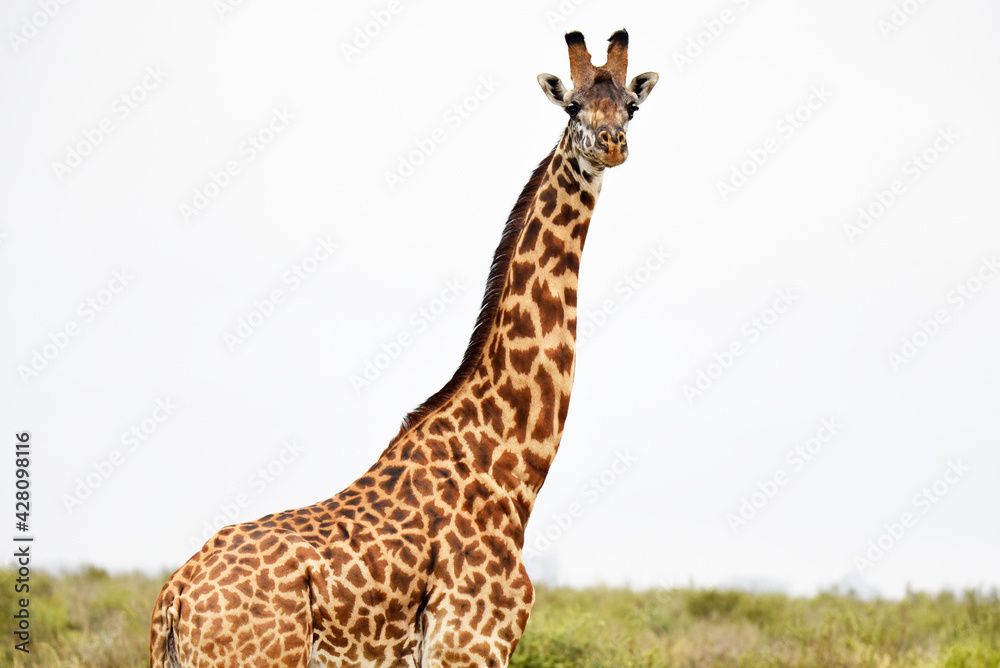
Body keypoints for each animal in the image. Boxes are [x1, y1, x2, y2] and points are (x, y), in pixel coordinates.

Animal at [151, 29, 658, 668]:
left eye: (631, 107)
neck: (510, 472)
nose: (612, 144)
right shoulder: (470, 644)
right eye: (572, 107)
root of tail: (175, 596)